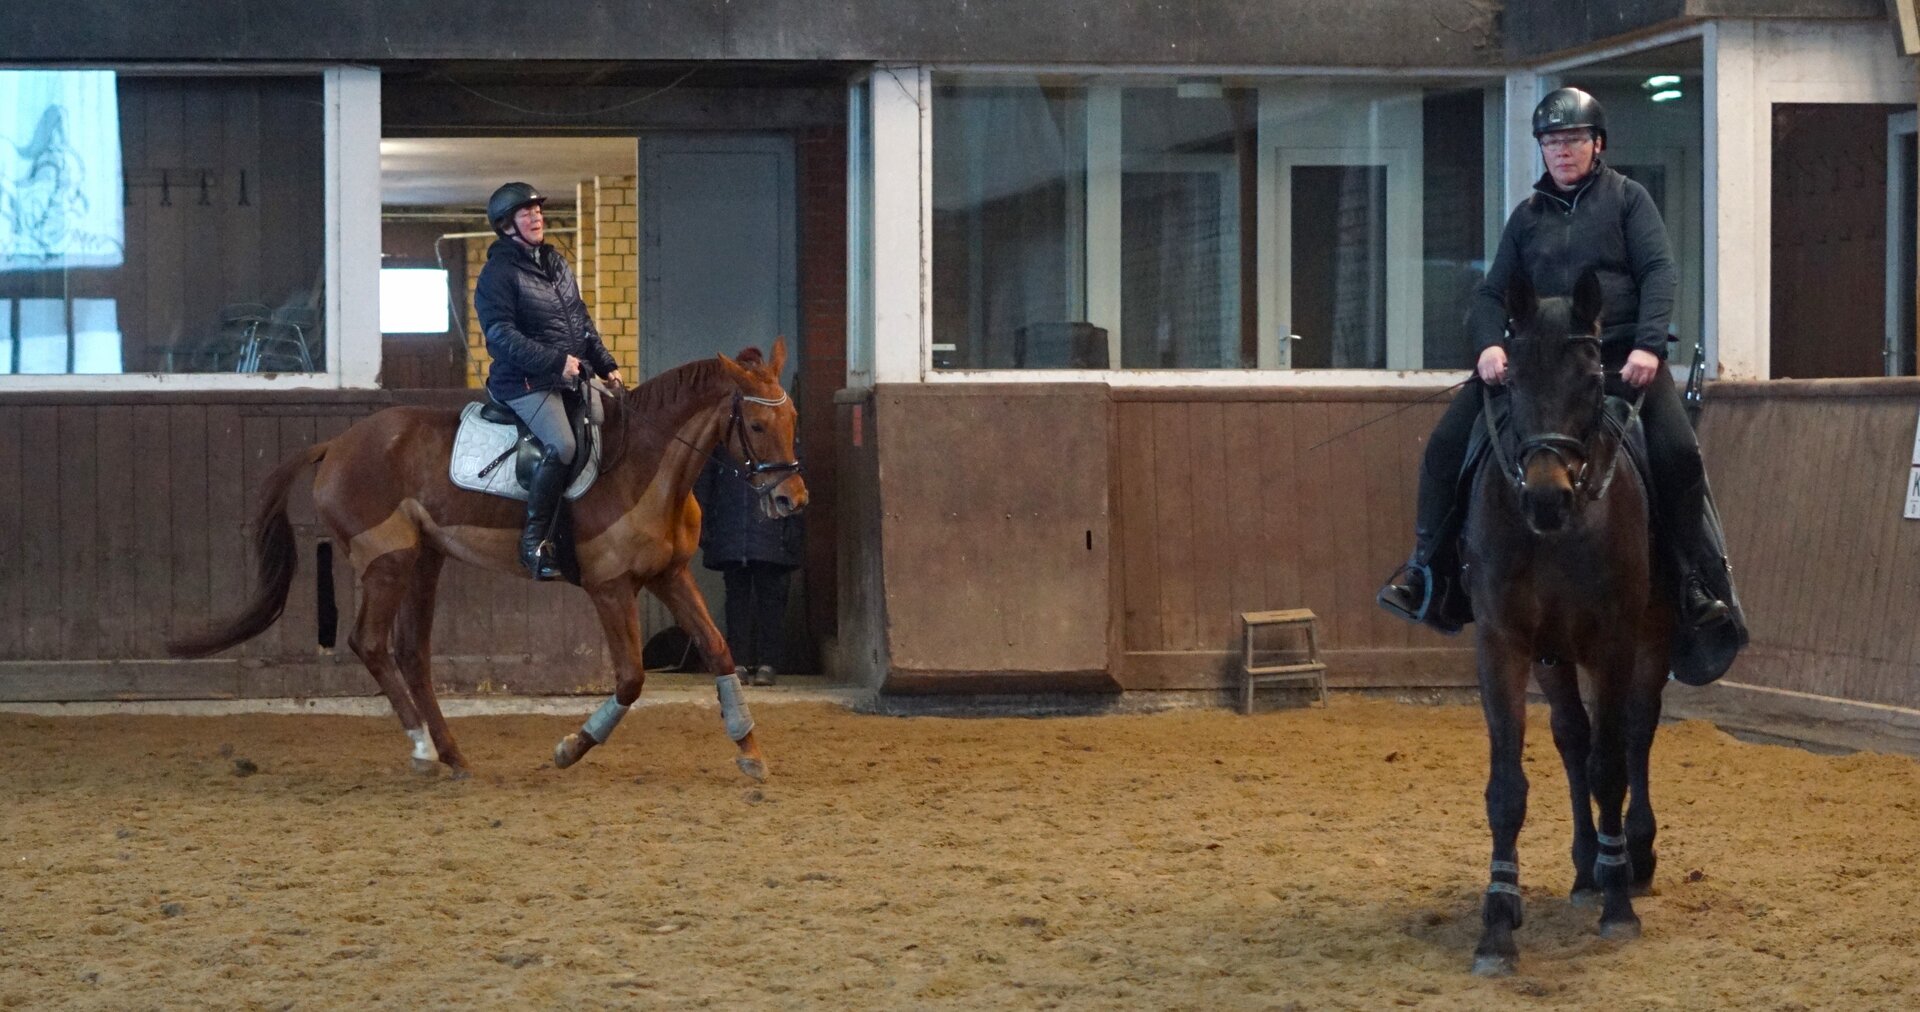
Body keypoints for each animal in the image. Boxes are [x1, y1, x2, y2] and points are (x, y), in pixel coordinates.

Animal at [168, 339, 808, 781]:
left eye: (793, 420)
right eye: (755, 424)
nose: (791, 501)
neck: (644, 466)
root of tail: (336, 445)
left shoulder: (667, 576)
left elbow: (719, 649)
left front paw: (750, 750)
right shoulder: (610, 587)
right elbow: (630, 679)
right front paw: (569, 749)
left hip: (426, 561)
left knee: (411, 653)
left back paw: (452, 756)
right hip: (388, 561)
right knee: (371, 644)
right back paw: (423, 751)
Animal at [1460, 270, 1674, 976]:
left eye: (1589, 380)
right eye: (1510, 379)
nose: (1546, 498)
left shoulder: (1613, 642)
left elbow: (1612, 767)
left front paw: (1619, 909)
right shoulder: (1503, 642)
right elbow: (1508, 786)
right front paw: (1498, 924)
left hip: (1651, 642)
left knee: (1634, 733)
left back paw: (1630, 859)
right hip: (1553, 658)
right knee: (1573, 738)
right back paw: (1587, 872)